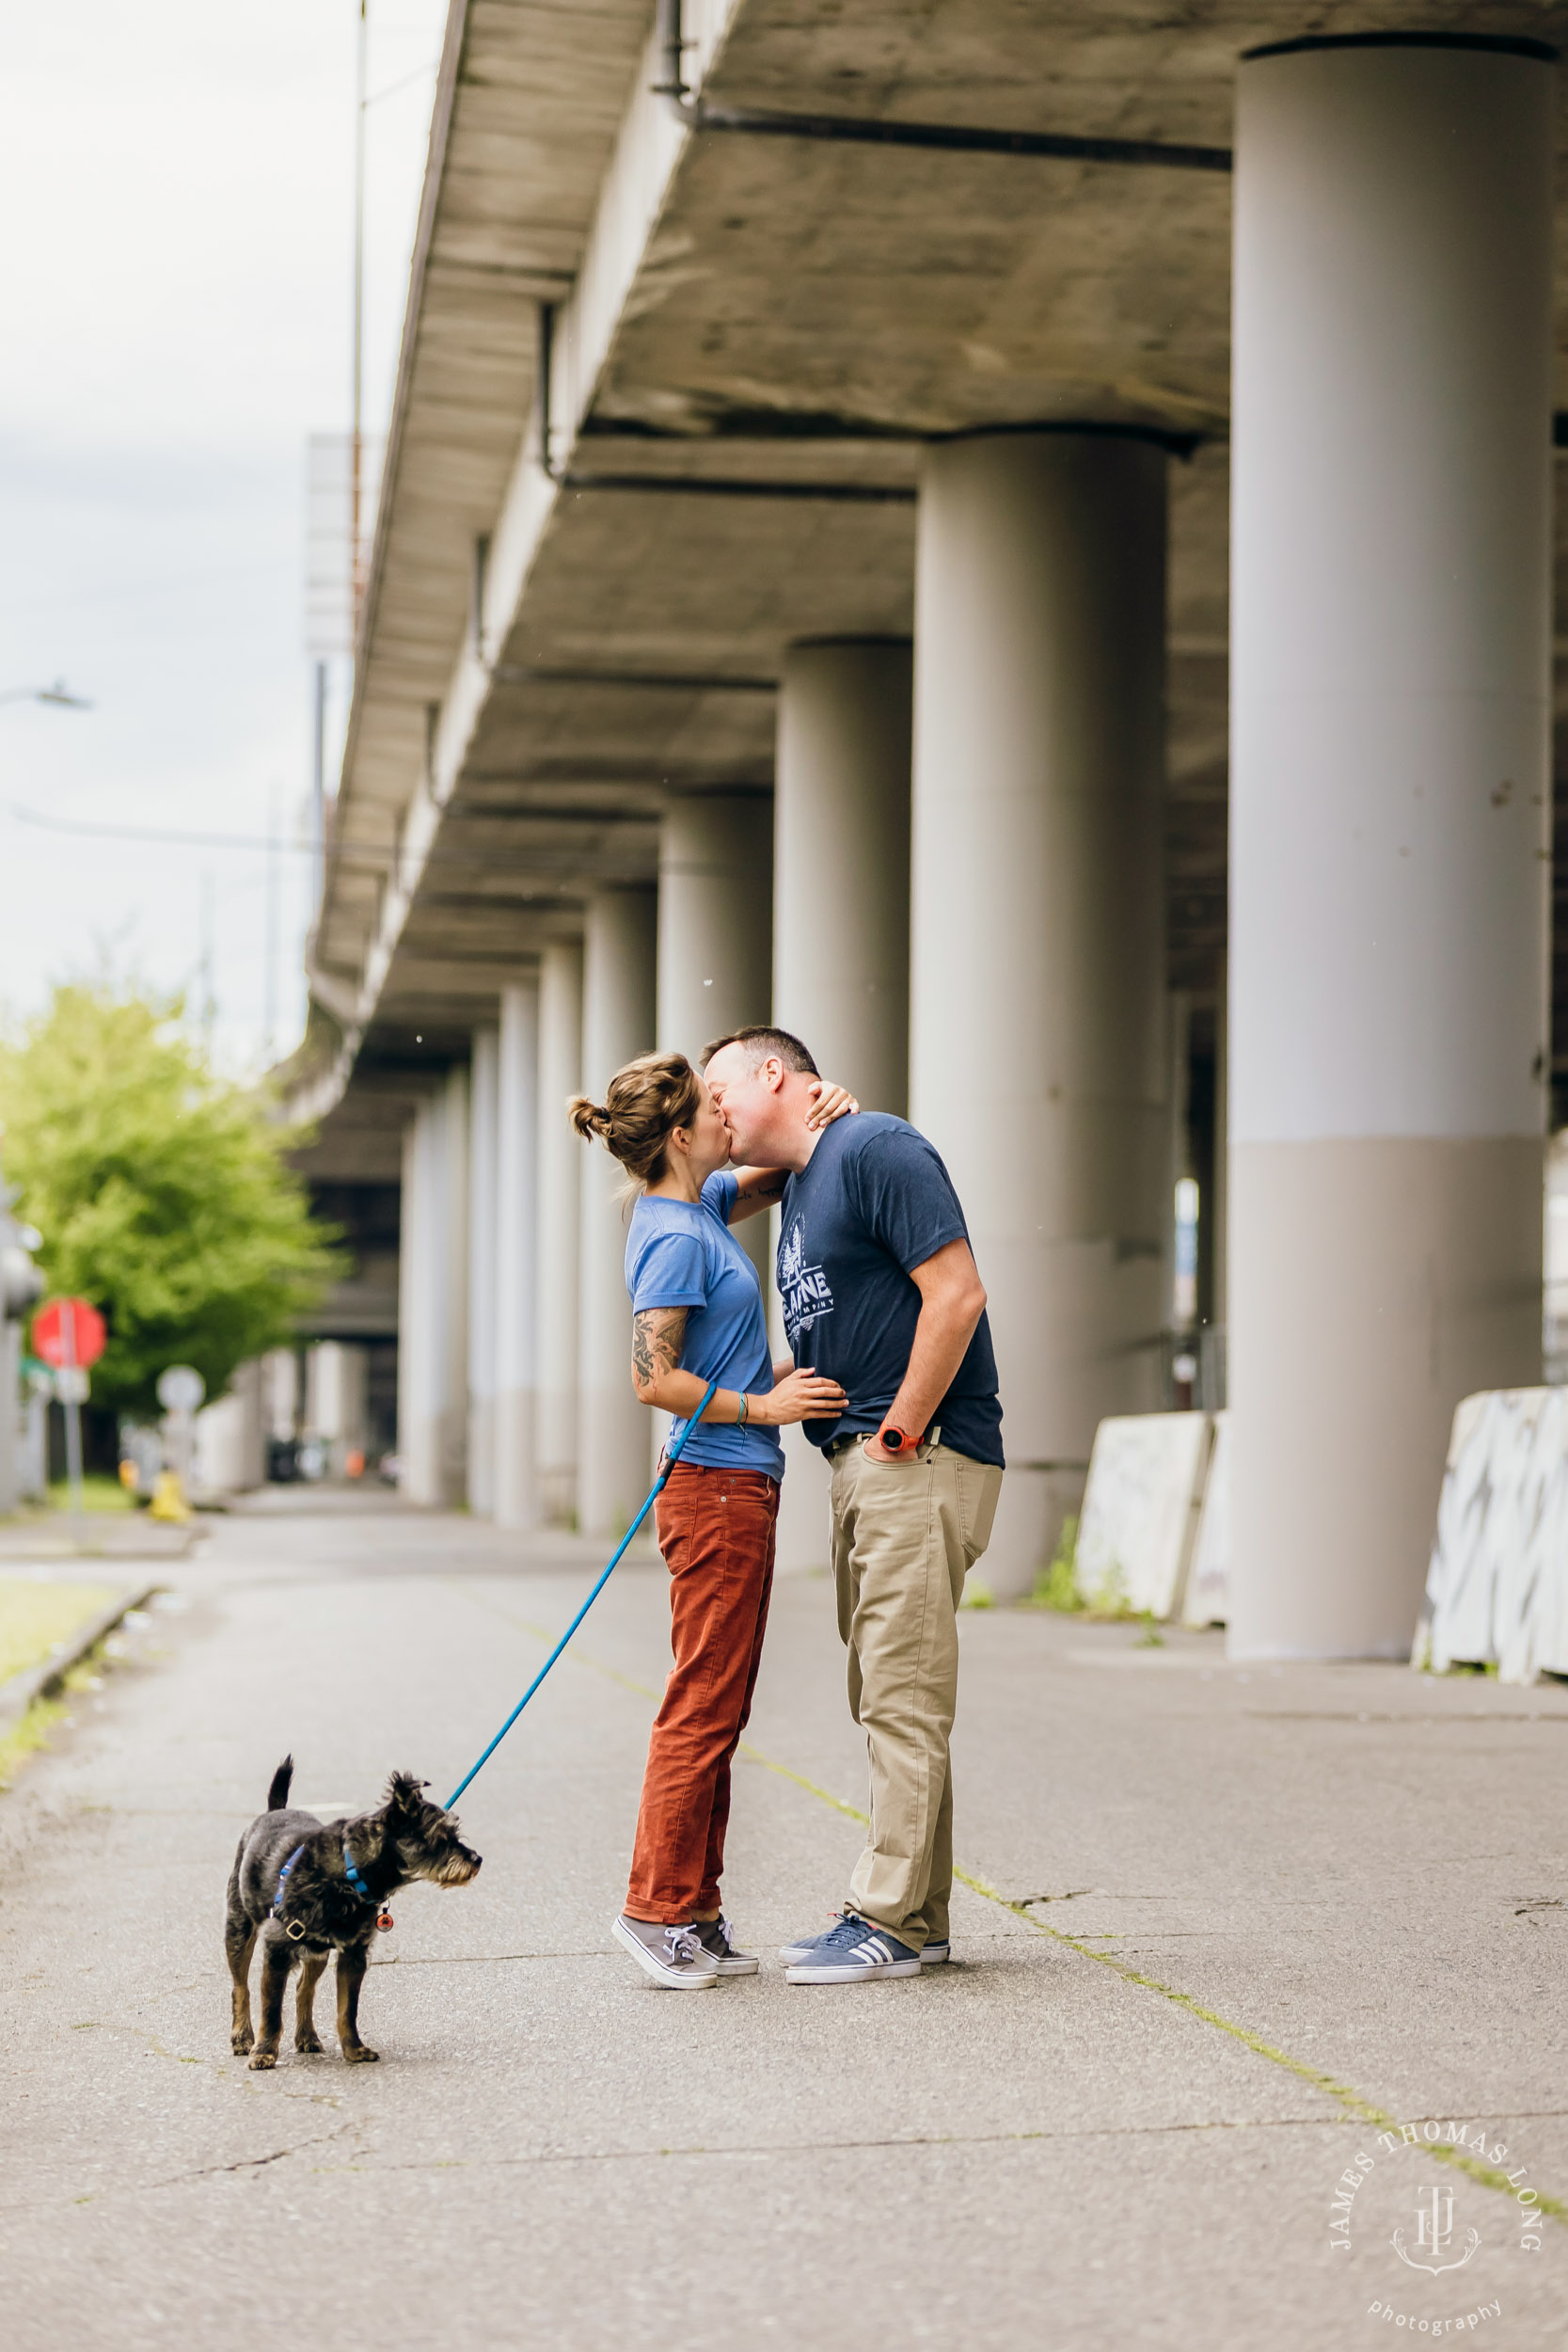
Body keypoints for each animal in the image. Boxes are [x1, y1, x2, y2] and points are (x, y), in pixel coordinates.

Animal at [227, 1759, 482, 2070]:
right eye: (441, 1838)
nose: (477, 1859)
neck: (350, 1874)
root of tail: (274, 1810)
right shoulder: (277, 1950)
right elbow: (272, 2010)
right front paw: (263, 2052)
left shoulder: (354, 1955)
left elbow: (348, 2009)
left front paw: (354, 2049)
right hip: (239, 1929)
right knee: (241, 1987)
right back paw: (242, 2038)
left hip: (318, 1952)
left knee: (304, 1989)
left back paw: (307, 2036)